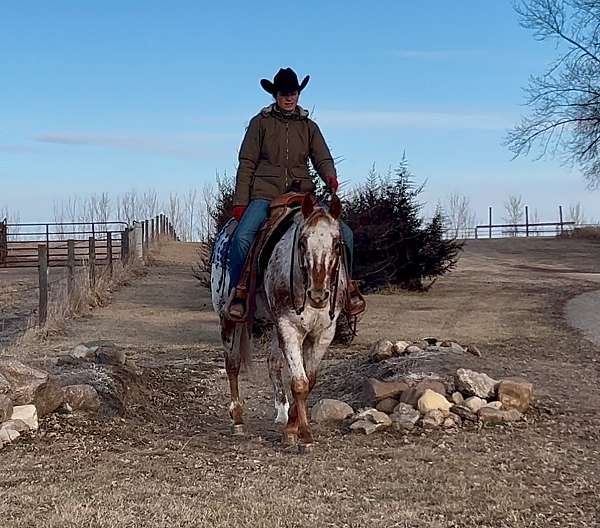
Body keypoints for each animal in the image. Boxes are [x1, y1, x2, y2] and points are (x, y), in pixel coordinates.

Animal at [211, 193, 346, 450]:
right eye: (302, 242)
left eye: (336, 243)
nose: (318, 295)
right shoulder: (289, 326)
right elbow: (300, 383)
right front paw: (304, 435)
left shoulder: (324, 333)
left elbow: (309, 380)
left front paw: (291, 426)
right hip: (228, 318)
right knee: (232, 364)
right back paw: (238, 420)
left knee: (273, 363)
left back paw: (281, 413)